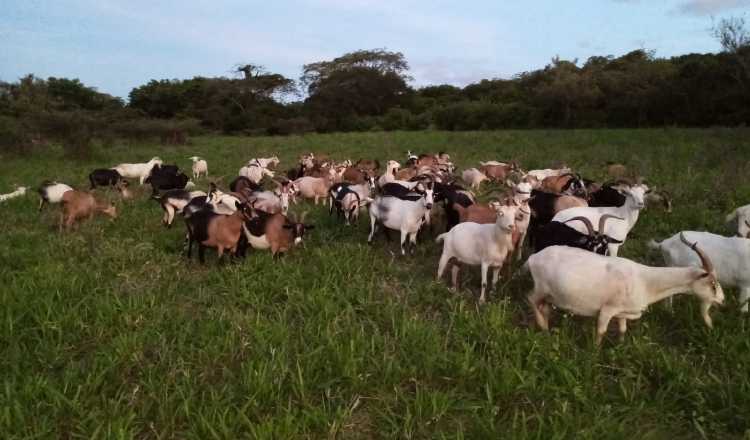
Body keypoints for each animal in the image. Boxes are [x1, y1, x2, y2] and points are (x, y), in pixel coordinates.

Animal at [524, 232, 724, 346]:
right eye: (713, 284)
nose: (722, 300)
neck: (645, 280)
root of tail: (534, 257)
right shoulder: (607, 309)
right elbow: (601, 331)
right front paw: (595, 353)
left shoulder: (622, 312)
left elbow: (622, 329)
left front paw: (619, 347)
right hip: (541, 288)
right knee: (530, 299)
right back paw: (542, 325)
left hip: (550, 294)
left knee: (543, 306)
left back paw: (545, 326)